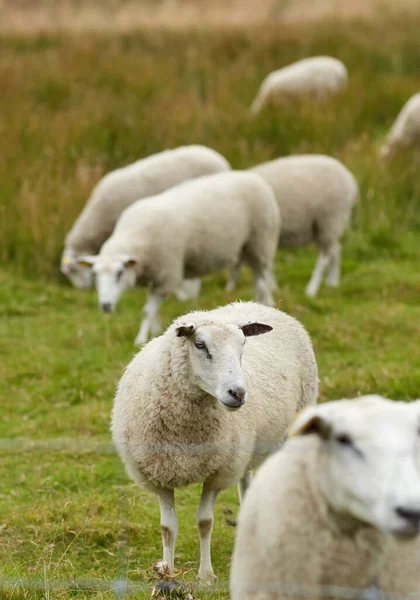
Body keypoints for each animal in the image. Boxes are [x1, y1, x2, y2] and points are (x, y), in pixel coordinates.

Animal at [78, 171, 282, 344]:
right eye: (94, 275)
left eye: (120, 273)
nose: (105, 306)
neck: (137, 236)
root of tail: (251, 175)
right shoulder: (155, 276)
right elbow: (153, 311)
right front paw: (155, 332)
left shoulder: (166, 274)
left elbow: (147, 311)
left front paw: (140, 339)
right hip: (249, 246)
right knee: (257, 276)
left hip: (261, 240)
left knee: (262, 276)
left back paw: (267, 302)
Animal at [111, 302, 318, 584]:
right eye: (200, 344)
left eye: (243, 344)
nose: (238, 393)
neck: (186, 436)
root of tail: (255, 304)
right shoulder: (158, 474)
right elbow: (167, 527)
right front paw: (166, 572)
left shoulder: (218, 473)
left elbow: (204, 522)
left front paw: (206, 576)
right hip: (244, 451)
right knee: (246, 483)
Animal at [226, 154, 360, 296]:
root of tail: (350, 178)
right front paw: (231, 287)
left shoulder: (261, 234)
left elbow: (253, 264)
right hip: (324, 227)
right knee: (336, 249)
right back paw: (332, 282)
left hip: (330, 220)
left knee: (324, 257)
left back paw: (311, 289)